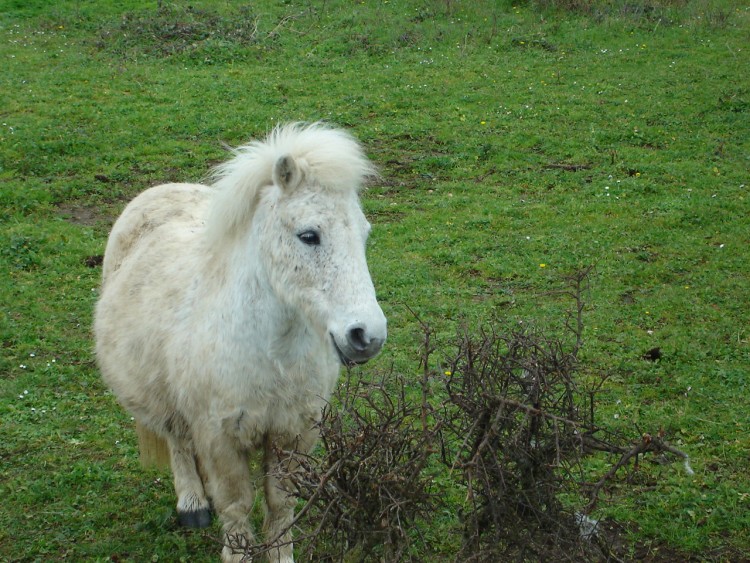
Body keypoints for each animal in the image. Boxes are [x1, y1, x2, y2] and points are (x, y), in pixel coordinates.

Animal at [94, 121, 388, 560]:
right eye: (308, 235)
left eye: (364, 234)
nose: (367, 335)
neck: (271, 357)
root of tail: (157, 191)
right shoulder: (220, 438)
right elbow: (236, 507)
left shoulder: (293, 432)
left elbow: (281, 503)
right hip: (166, 401)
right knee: (178, 441)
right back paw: (193, 505)